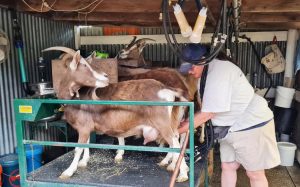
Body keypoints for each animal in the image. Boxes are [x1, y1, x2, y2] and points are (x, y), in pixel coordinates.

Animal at [43, 46, 190, 183]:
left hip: (162, 123)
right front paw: (84, 162)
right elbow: (87, 143)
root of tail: (166, 89)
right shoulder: (87, 126)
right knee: (176, 138)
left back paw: (182, 174)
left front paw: (68, 172)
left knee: (175, 143)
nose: (105, 76)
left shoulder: (84, 127)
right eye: (84, 65)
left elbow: (78, 148)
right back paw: (171, 164)